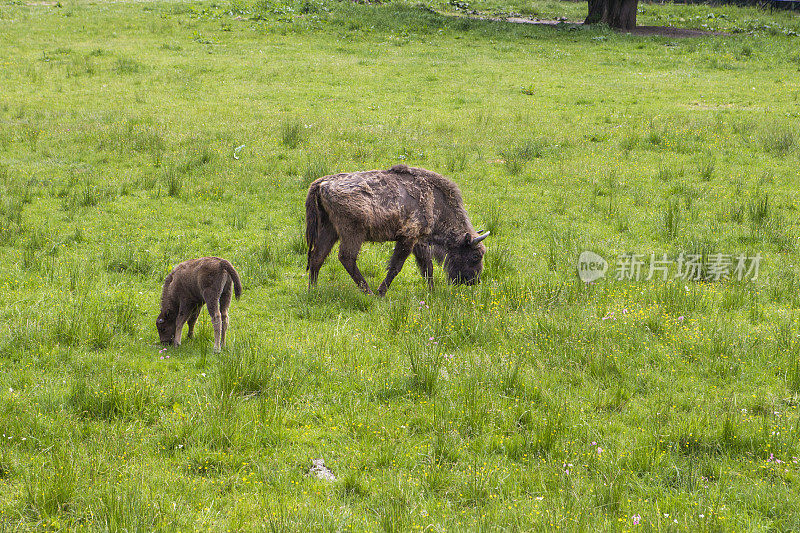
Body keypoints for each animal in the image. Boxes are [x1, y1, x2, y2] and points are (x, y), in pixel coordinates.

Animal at [304, 163, 488, 296]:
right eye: (475, 255)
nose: (475, 281)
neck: (434, 200)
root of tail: (322, 183)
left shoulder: (418, 241)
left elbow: (427, 266)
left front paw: (432, 291)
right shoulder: (408, 238)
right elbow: (396, 267)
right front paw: (381, 292)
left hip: (329, 230)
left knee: (317, 257)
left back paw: (313, 289)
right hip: (352, 233)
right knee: (346, 257)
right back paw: (369, 292)